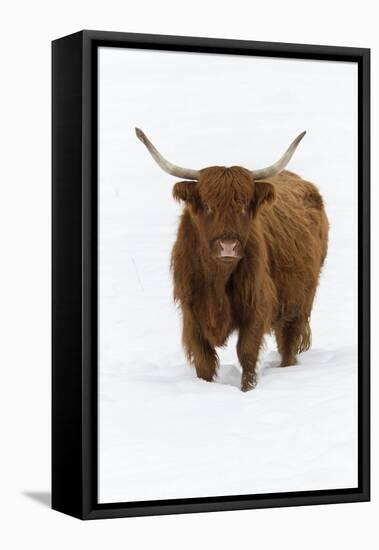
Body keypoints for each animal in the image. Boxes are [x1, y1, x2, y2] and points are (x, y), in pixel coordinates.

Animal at [137, 129, 330, 392]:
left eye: (245, 205)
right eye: (207, 204)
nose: (228, 246)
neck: (217, 280)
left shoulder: (255, 306)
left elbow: (246, 353)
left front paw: (246, 390)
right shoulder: (191, 313)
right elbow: (204, 360)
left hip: (298, 303)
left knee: (288, 343)